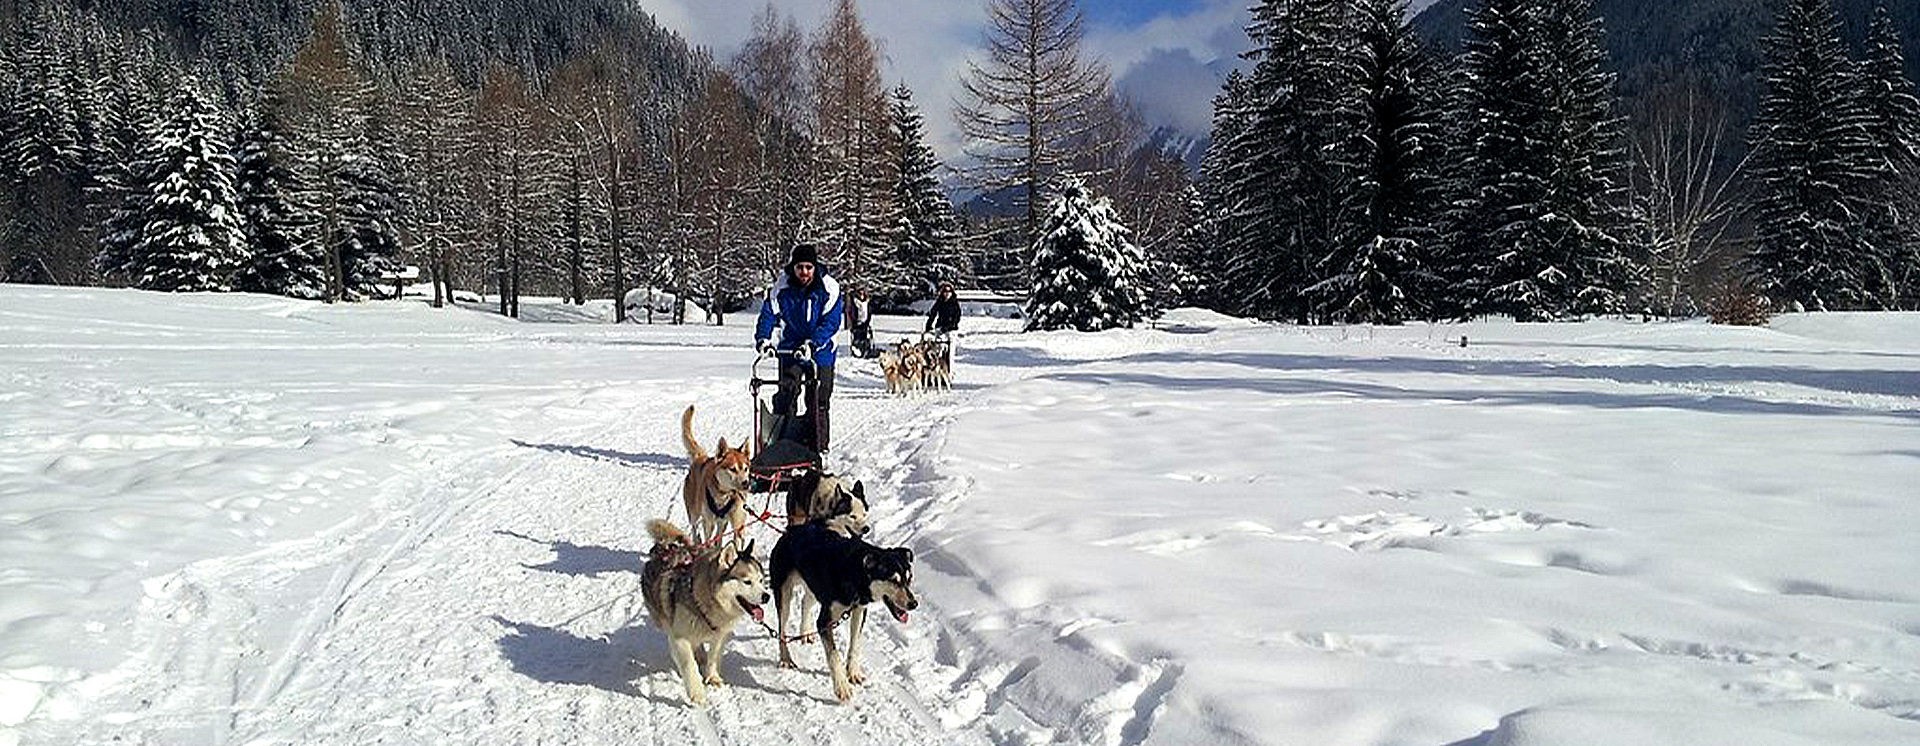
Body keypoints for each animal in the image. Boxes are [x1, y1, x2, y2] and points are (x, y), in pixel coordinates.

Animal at [641, 517, 768, 701]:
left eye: (761, 580)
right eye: (747, 582)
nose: (767, 597)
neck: (705, 601)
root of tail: (665, 548)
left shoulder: (721, 635)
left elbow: (713, 657)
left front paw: (712, 677)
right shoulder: (680, 638)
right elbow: (689, 665)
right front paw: (697, 693)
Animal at [683, 404, 748, 544]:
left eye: (746, 469)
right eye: (732, 469)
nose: (746, 484)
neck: (723, 497)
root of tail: (701, 458)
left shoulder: (735, 524)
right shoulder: (708, 523)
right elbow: (708, 538)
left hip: (722, 523)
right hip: (694, 512)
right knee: (694, 526)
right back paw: (696, 541)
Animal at [764, 521, 913, 701]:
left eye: (909, 578)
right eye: (893, 580)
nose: (914, 603)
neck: (854, 573)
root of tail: (790, 532)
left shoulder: (859, 610)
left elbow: (855, 645)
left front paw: (853, 672)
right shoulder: (824, 622)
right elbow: (834, 655)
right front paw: (842, 686)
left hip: (813, 587)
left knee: (805, 602)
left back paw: (805, 633)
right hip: (784, 596)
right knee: (782, 629)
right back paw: (785, 658)